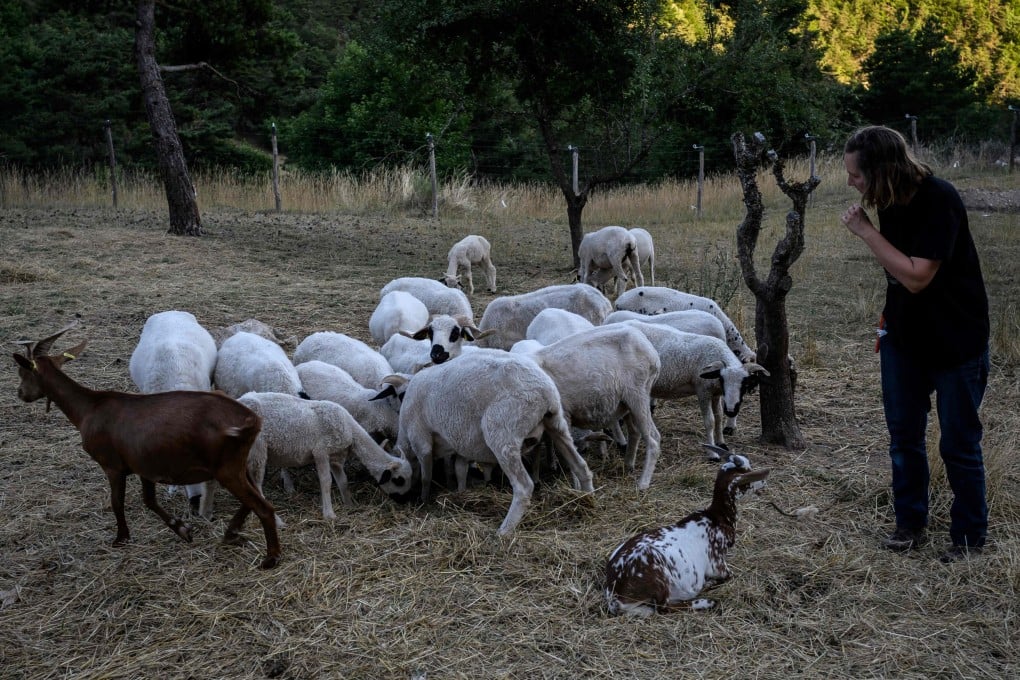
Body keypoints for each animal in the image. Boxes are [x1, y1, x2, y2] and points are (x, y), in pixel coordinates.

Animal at [199, 392, 413, 523]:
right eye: (399, 480)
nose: (405, 502)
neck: (351, 431)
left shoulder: (335, 458)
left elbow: (342, 481)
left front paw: (350, 504)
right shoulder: (321, 451)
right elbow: (326, 482)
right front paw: (329, 514)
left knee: (212, 480)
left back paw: (205, 512)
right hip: (257, 449)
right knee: (256, 486)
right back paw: (277, 521)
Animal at [388, 349, 595, 535]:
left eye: (396, 479)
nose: (400, 500)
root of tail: (545, 392)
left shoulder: (420, 438)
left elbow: (426, 476)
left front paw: (423, 500)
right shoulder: (460, 446)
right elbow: (458, 469)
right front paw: (459, 492)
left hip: (502, 431)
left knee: (524, 486)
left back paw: (504, 531)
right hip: (557, 423)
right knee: (581, 466)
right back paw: (588, 500)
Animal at [527, 324, 663, 489]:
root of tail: (649, 347)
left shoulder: (563, 415)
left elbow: (570, 455)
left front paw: (577, 487)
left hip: (638, 394)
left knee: (653, 439)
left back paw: (643, 483)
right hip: (628, 402)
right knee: (635, 432)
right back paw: (628, 464)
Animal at [604, 450, 769, 616]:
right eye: (747, 472)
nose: (763, 483)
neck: (716, 518)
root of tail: (615, 597)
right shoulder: (718, 564)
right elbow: (729, 576)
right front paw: (709, 585)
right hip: (659, 577)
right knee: (663, 607)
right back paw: (706, 601)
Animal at [615, 321, 769, 452]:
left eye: (745, 383)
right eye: (723, 380)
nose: (731, 411)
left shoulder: (715, 394)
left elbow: (719, 417)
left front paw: (721, 444)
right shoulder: (703, 391)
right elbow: (710, 421)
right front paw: (712, 450)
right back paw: (622, 443)